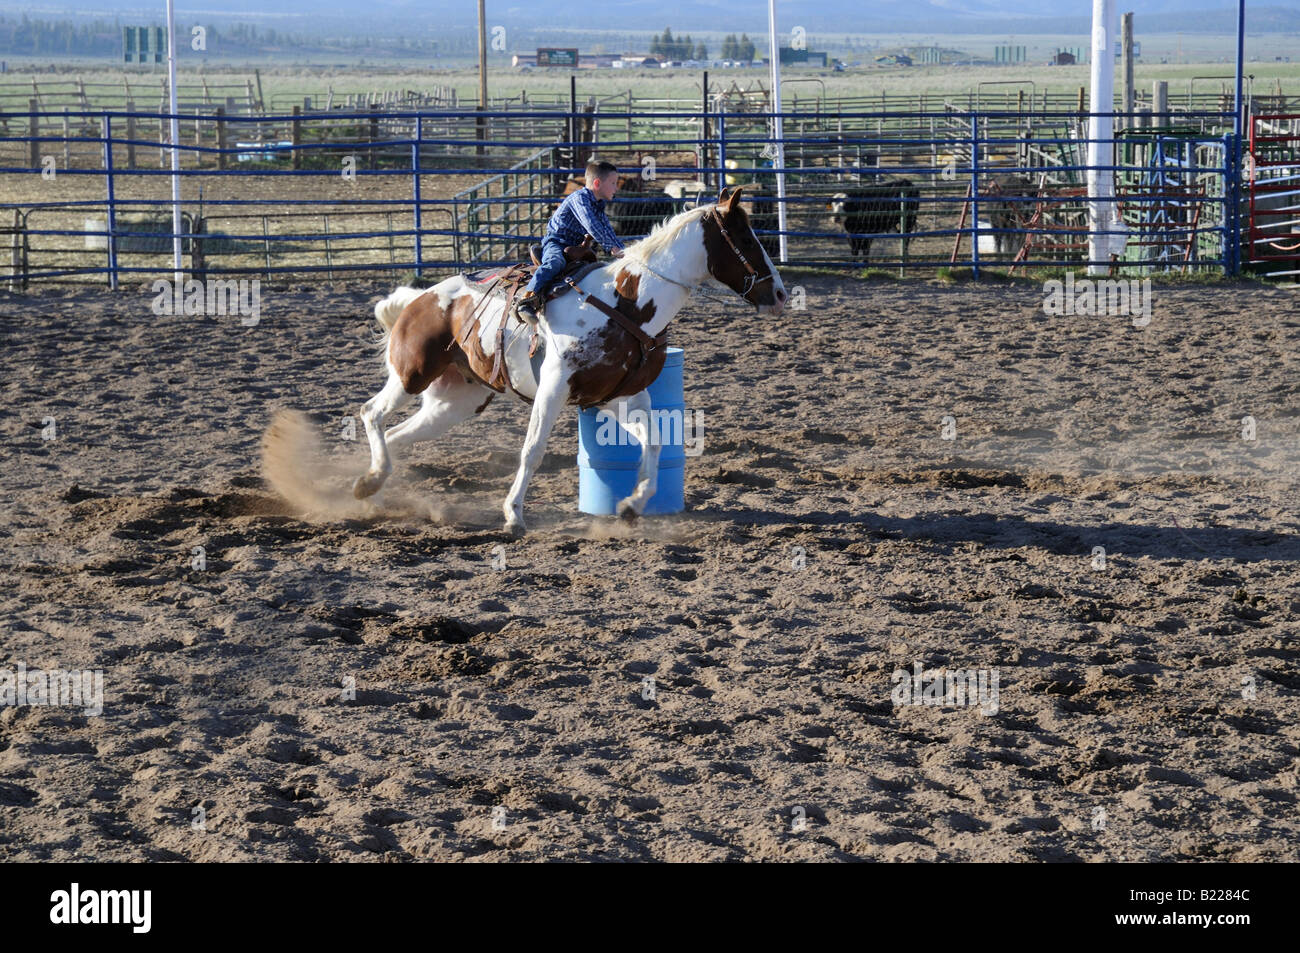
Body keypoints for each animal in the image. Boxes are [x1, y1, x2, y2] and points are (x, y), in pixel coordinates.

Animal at [351, 185, 785, 535]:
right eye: (747, 239)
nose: (780, 295)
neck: (625, 301)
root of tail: (420, 298)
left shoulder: (618, 398)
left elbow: (655, 442)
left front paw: (633, 505)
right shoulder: (553, 387)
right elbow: (532, 450)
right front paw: (513, 515)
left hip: (453, 403)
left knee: (395, 435)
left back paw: (375, 489)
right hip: (412, 373)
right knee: (372, 413)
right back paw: (368, 483)